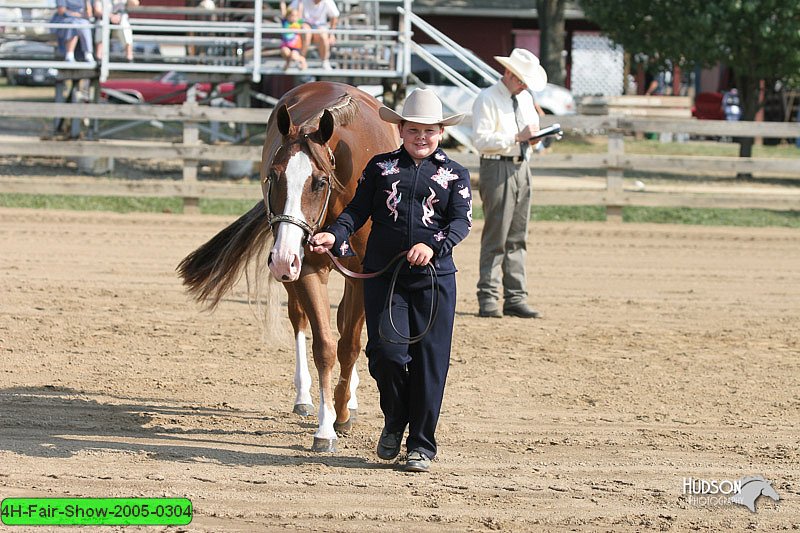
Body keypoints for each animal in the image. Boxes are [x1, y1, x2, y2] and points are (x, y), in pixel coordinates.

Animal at [176, 81, 400, 450]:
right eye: (273, 176)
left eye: (320, 182)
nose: (281, 256)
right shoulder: (305, 269)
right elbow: (324, 346)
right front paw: (325, 426)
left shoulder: (361, 278)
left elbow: (349, 345)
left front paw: (342, 410)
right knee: (300, 320)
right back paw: (304, 397)